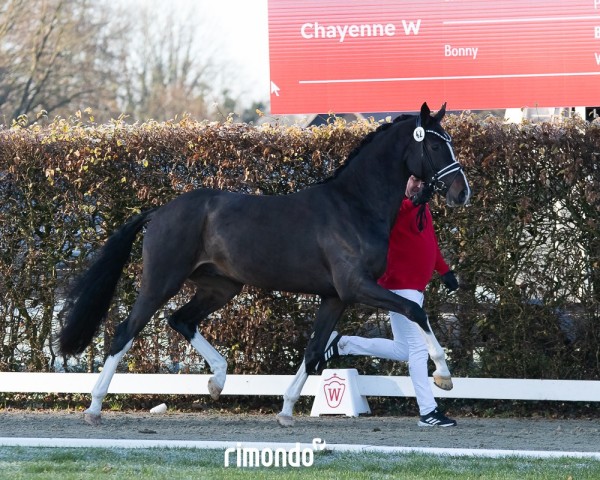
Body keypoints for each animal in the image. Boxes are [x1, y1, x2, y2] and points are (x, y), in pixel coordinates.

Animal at [57, 102, 468, 424]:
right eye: (435, 143)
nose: (462, 192)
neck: (354, 205)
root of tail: (159, 212)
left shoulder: (336, 297)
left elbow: (314, 350)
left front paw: (285, 410)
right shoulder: (357, 287)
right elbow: (416, 312)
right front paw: (444, 374)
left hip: (220, 286)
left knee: (181, 320)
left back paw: (217, 381)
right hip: (161, 281)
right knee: (124, 331)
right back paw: (94, 407)